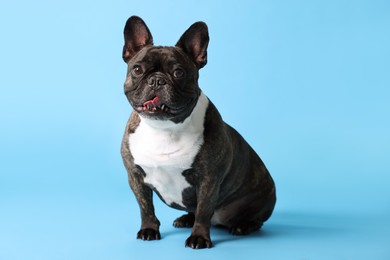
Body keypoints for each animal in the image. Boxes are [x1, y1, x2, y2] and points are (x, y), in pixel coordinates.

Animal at [120, 15, 276, 249]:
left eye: (178, 72)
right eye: (137, 70)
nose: (156, 80)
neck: (165, 128)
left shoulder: (208, 180)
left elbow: (203, 211)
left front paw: (199, 238)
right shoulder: (136, 177)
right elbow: (146, 207)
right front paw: (148, 229)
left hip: (262, 199)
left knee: (255, 219)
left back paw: (243, 226)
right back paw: (185, 219)